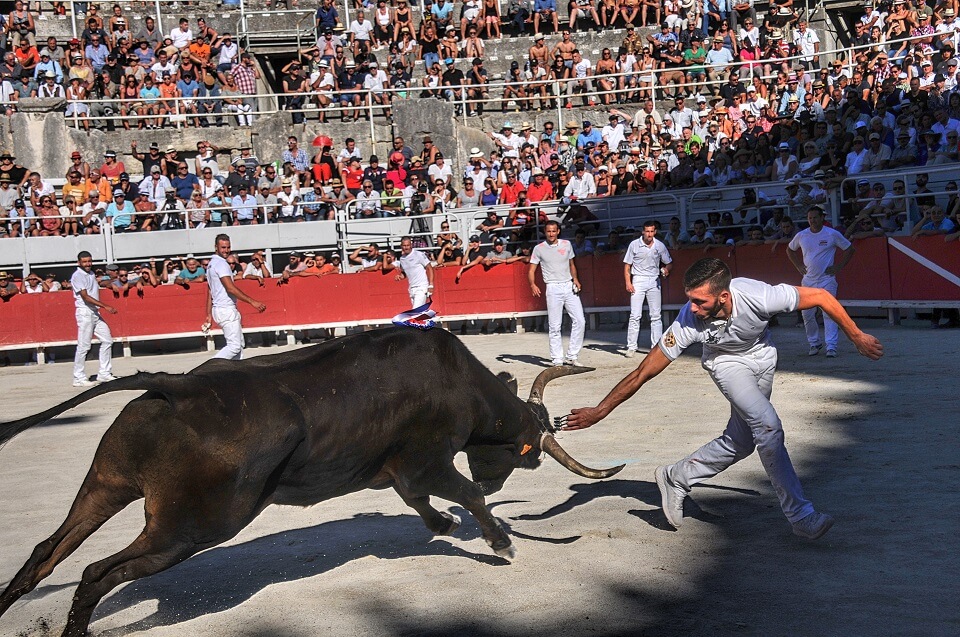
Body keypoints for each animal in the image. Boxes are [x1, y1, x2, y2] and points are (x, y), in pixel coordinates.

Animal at [0, 326, 624, 632]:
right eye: (528, 453)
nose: (503, 482)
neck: (464, 386)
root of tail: (182, 386)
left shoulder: (400, 471)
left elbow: (420, 501)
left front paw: (444, 524)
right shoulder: (427, 460)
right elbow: (460, 493)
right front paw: (500, 542)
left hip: (108, 484)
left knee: (47, 553)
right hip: (189, 529)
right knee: (97, 572)